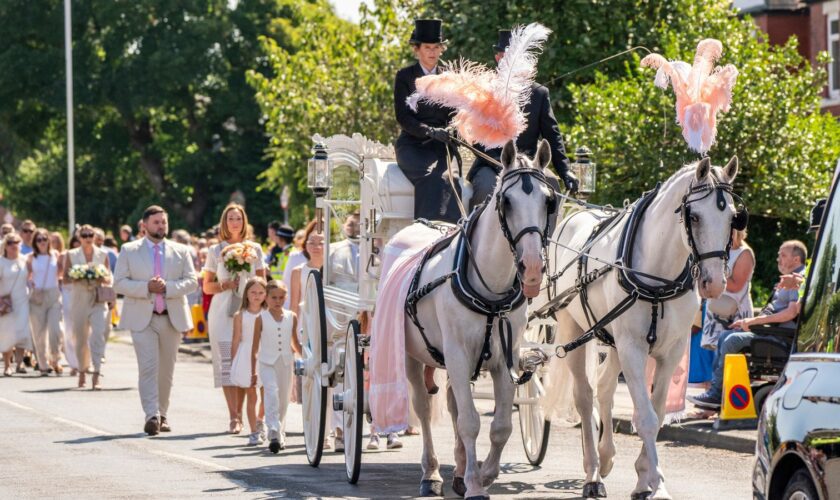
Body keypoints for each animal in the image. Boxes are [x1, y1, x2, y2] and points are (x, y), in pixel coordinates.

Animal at [396, 139, 556, 498]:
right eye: (506, 202)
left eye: (548, 201)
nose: (532, 268)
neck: (491, 290)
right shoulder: (457, 354)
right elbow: (470, 422)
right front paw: (474, 484)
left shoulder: (504, 357)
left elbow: (500, 425)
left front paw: (485, 474)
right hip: (412, 356)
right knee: (423, 408)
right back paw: (431, 473)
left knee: (453, 404)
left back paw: (457, 469)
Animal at [544, 155, 736, 496]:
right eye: (695, 216)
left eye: (733, 218)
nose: (714, 284)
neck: (659, 276)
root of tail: (573, 216)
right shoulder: (633, 348)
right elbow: (645, 417)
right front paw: (656, 483)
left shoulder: (670, 351)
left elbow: (657, 415)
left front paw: (646, 478)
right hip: (574, 329)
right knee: (585, 397)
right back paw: (593, 473)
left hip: (611, 337)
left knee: (605, 387)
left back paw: (606, 457)